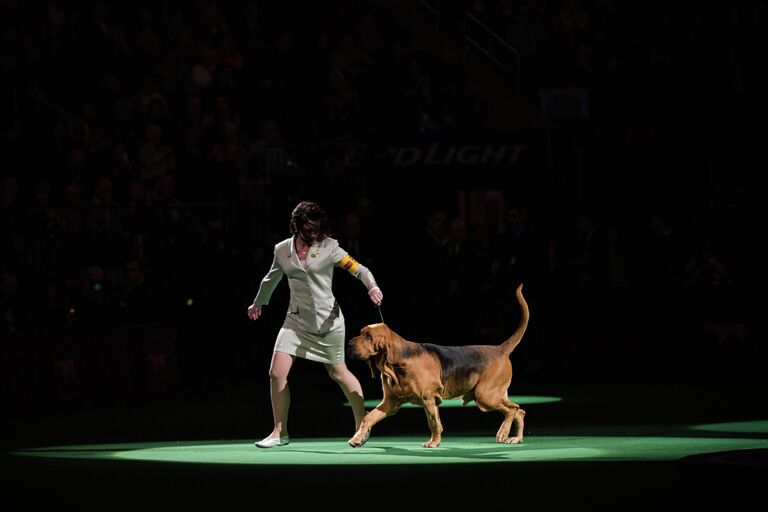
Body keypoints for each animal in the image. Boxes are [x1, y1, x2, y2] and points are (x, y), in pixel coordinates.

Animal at [348, 282, 528, 446]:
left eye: (368, 337)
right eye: (361, 333)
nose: (349, 344)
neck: (397, 363)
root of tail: (500, 349)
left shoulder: (428, 399)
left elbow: (433, 422)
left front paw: (434, 442)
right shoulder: (390, 403)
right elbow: (368, 418)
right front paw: (357, 438)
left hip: (485, 396)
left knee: (512, 409)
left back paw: (503, 433)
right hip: (494, 395)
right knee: (519, 411)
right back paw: (516, 438)